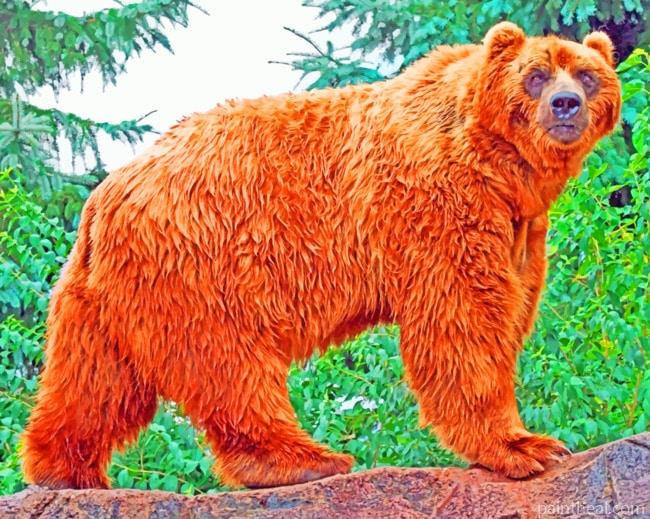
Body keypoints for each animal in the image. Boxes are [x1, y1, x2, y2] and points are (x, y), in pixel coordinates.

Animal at [22, 22, 621, 489]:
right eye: (535, 75)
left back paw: (64, 469)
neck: (499, 166)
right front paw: (526, 446)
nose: (565, 104)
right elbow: (463, 321)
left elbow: (510, 304)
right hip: (203, 259)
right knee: (230, 364)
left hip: (105, 294)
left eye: (587, 74)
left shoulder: (519, 226)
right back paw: (304, 460)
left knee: (96, 380)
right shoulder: (439, 204)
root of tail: (106, 195)